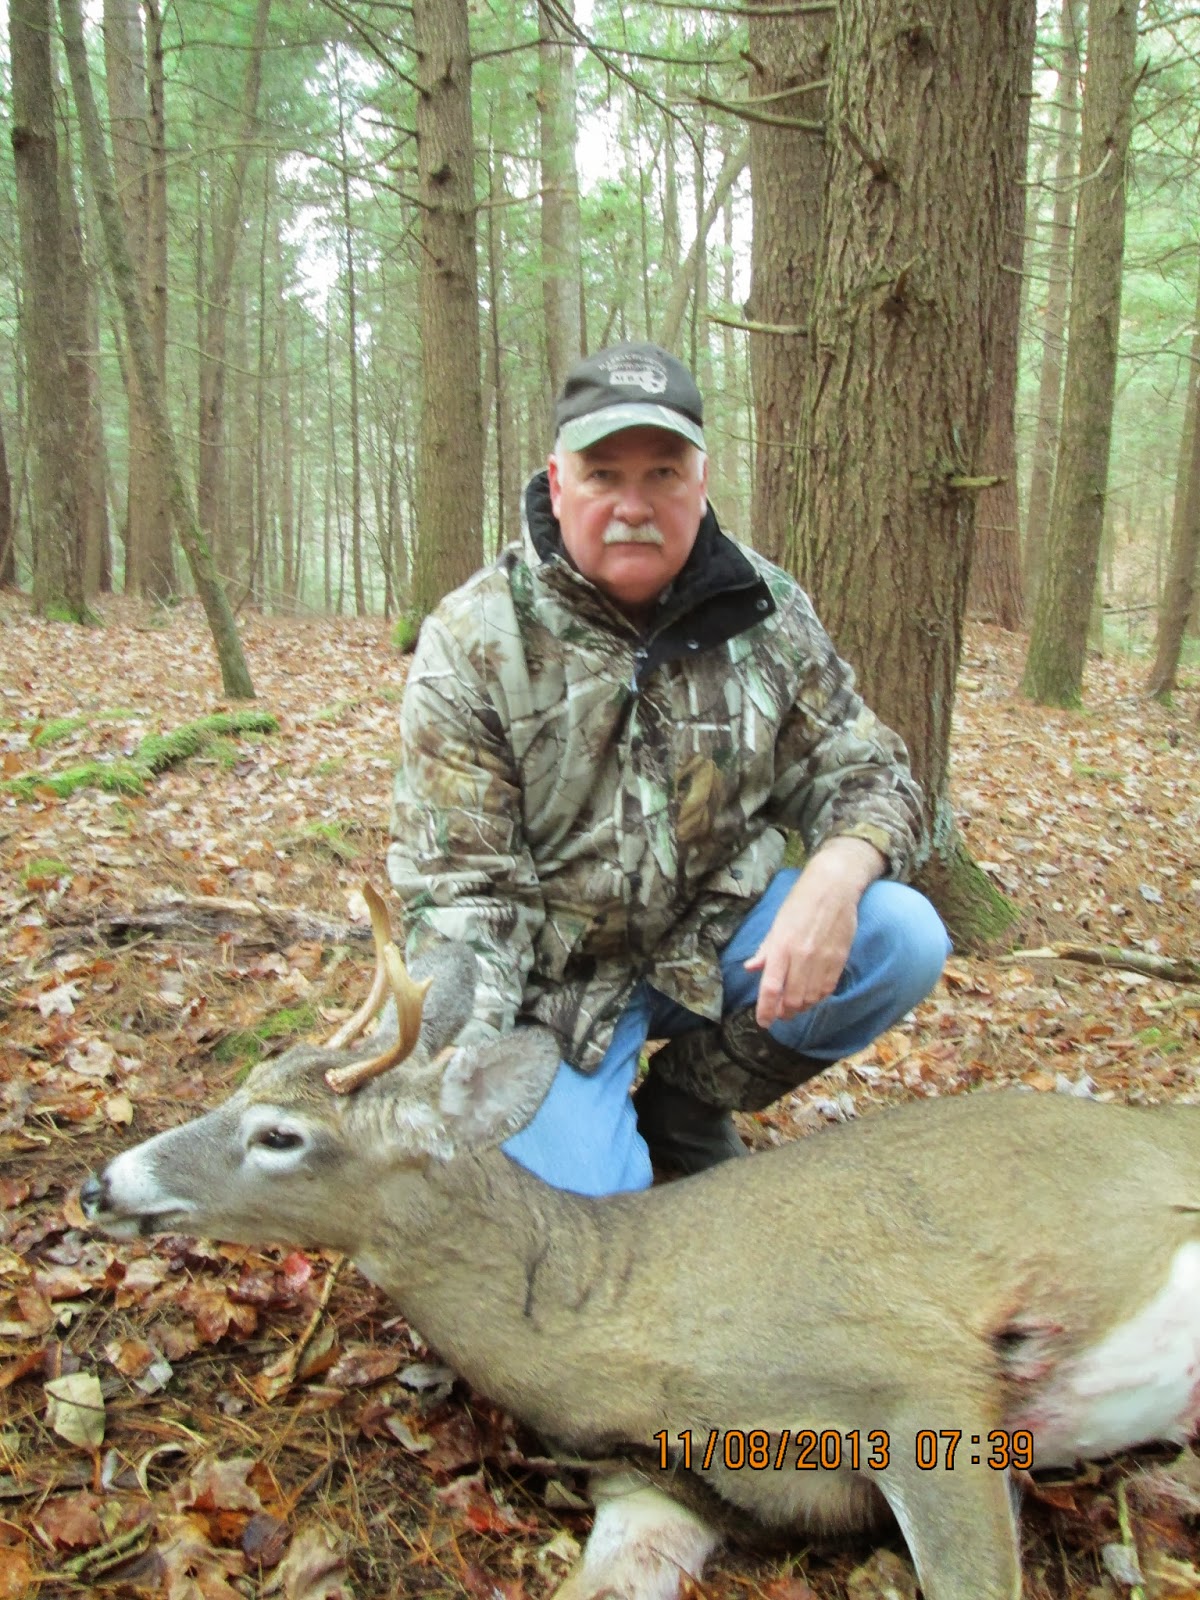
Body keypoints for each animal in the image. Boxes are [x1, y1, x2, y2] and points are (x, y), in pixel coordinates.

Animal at [82, 886, 1200, 1600]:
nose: (103, 1184)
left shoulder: (924, 1382)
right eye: (245, 1081)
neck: (633, 1319)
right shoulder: (659, 1486)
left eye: (282, 1135)